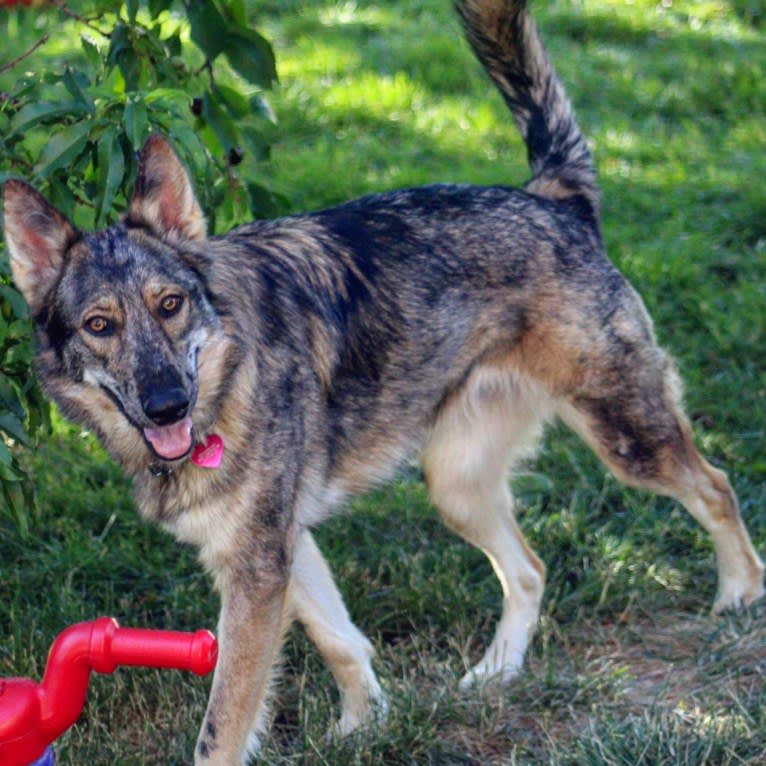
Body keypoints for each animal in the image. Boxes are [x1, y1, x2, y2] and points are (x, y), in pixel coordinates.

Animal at [3, 0, 764, 764]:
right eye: (99, 324)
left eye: (169, 304)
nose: (168, 406)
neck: (228, 376)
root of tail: (551, 199)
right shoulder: (276, 549)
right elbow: (341, 639)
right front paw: (366, 724)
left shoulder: (255, 568)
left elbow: (222, 727)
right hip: (456, 484)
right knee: (530, 570)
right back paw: (496, 673)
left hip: (626, 436)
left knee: (716, 487)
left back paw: (738, 595)